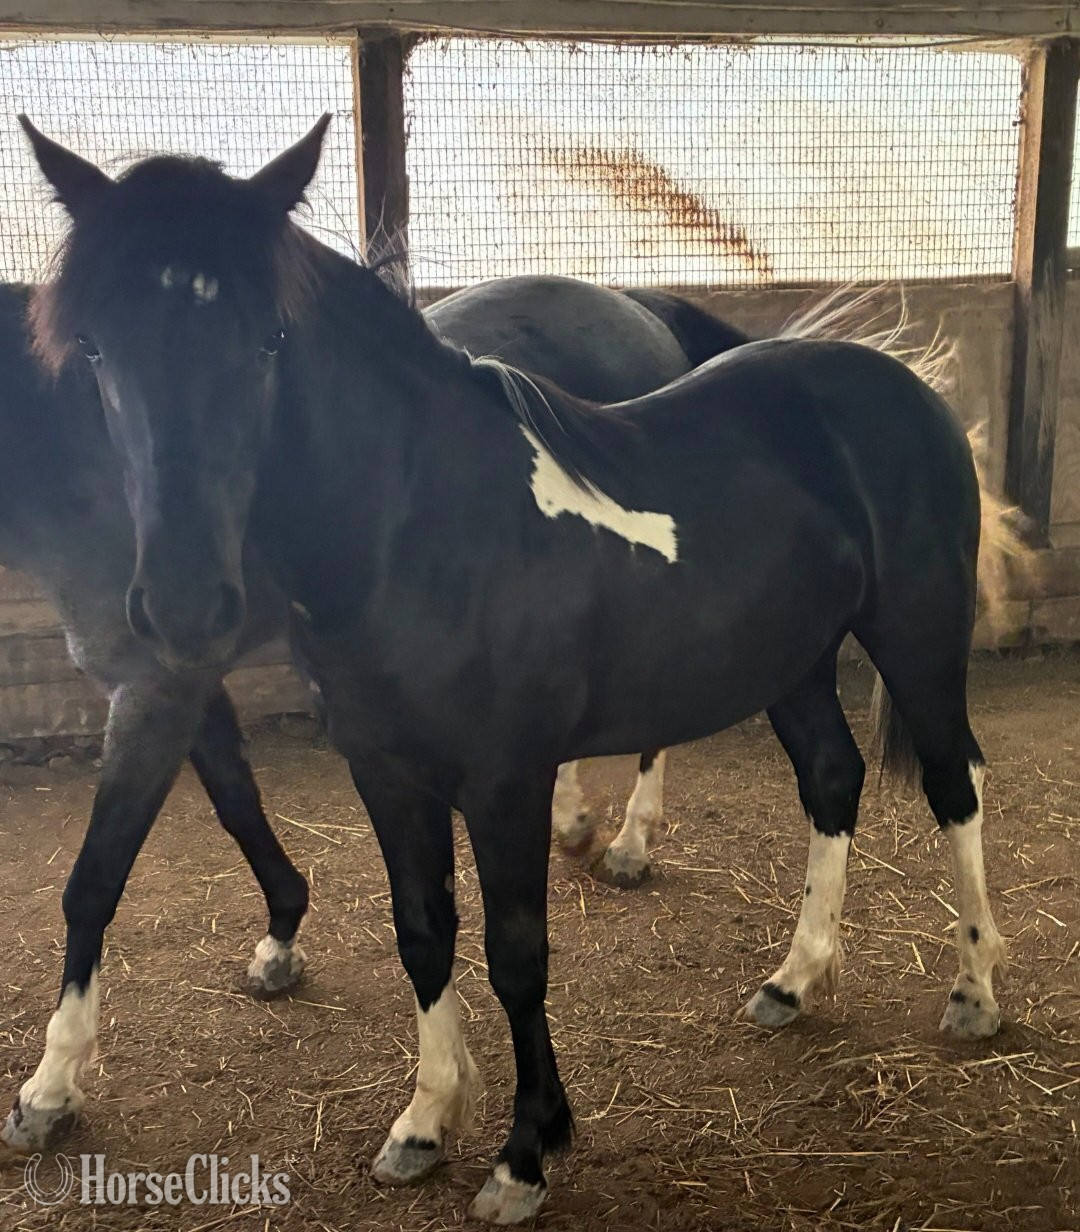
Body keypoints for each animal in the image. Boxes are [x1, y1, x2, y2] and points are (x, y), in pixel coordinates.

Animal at [0, 270, 748, 1153]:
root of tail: (637, 304)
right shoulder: (187, 680)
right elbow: (237, 802)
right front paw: (281, 938)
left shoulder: (154, 690)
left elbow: (94, 881)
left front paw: (50, 1086)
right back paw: (572, 820)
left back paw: (631, 844)